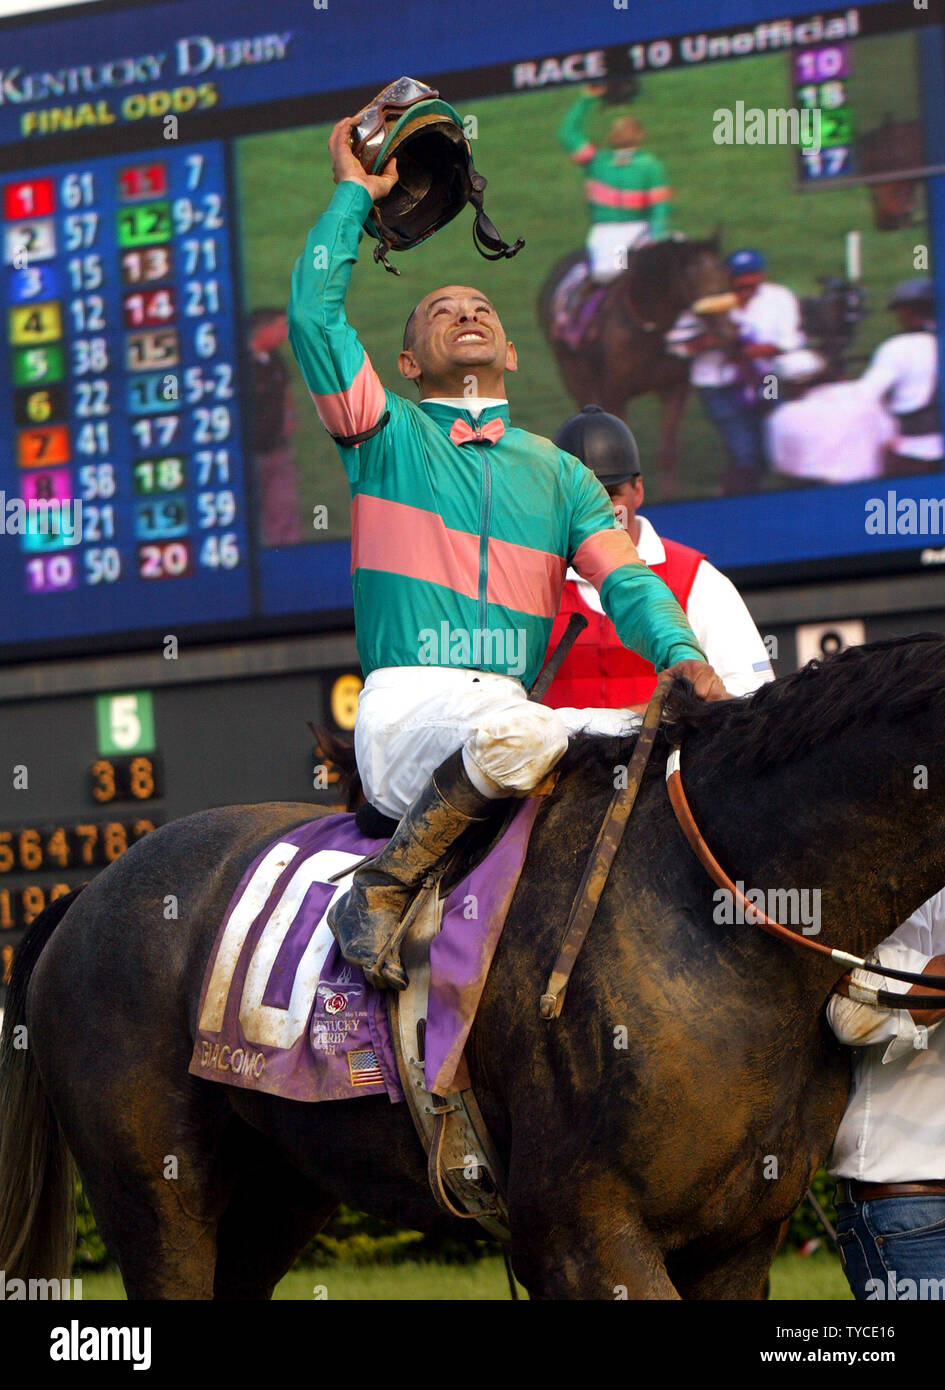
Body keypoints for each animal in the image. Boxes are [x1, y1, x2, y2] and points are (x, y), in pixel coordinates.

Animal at [1, 636, 945, 1295]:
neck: (713, 921)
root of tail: (88, 892)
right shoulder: (581, 1232)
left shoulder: (738, 1242)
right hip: (154, 1191)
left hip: (280, 1181)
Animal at [536, 236, 733, 497]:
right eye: (692, 276)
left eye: (725, 273)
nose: (727, 330)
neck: (648, 327)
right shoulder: (615, 394)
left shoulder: (676, 389)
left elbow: (667, 453)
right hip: (573, 374)